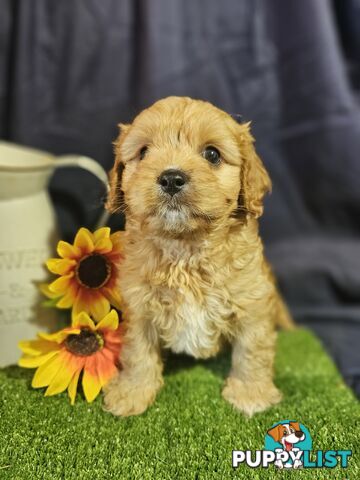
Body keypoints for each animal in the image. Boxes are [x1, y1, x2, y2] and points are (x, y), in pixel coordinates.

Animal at [103, 94, 292, 416]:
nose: (171, 177)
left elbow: (252, 349)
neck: (185, 249)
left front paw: (250, 394)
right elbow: (138, 351)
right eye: (143, 152)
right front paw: (132, 393)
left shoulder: (253, 303)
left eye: (212, 154)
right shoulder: (139, 307)